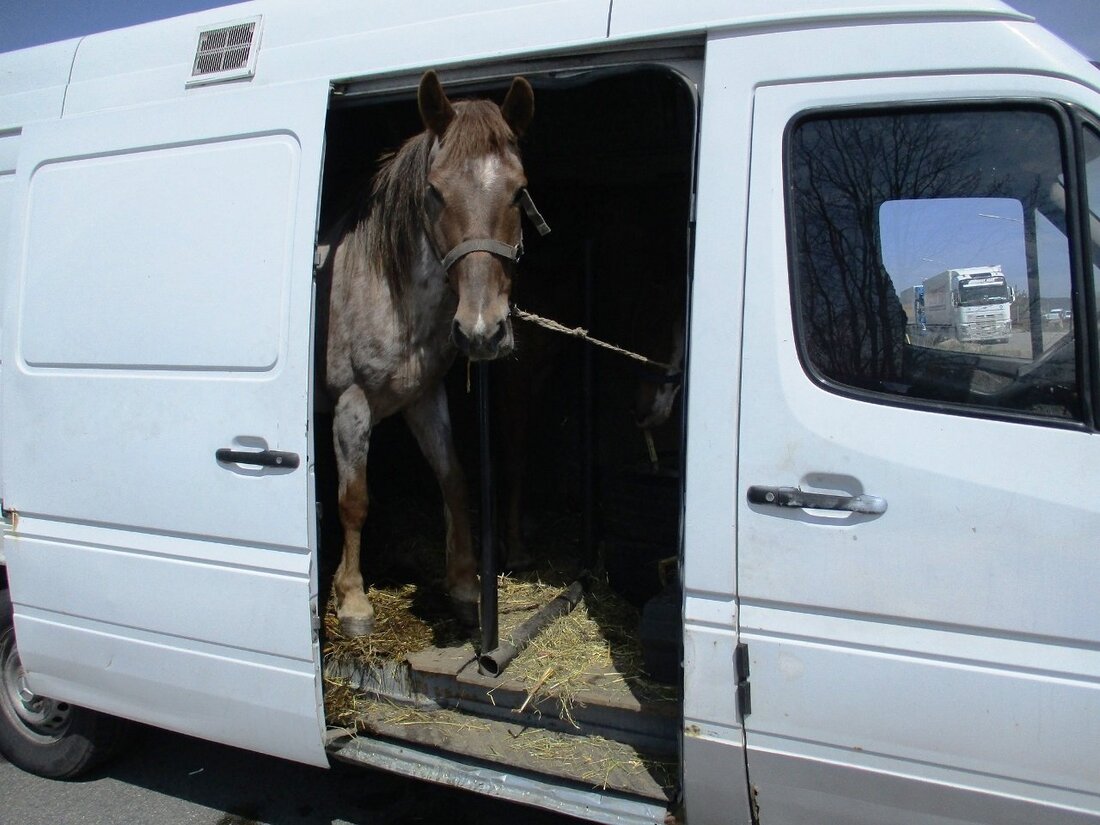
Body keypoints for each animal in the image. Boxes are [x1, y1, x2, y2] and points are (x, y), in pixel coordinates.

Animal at [324, 70, 536, 637]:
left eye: (519, 191)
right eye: (436, 193)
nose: (482, 331)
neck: (386, 291)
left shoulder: (424, 397)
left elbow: (454, 479)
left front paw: (464, 586)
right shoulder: (350, 406)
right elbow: (354, 500)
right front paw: (353, 601)